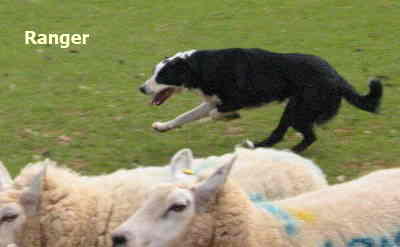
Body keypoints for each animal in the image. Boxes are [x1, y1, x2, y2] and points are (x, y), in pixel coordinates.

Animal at [139, 48, 382, 152]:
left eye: (161, 76)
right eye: (154, 72)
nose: (141, 88)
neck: (199, 67)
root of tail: (337, 77)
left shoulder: (233, 100)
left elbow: (216, 113)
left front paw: (230, 117)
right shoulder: (211, 100)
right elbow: (184, 116)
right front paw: (163, 126)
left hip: (300, 110)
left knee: (308, 136)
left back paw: (287, 152)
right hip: (294, 108)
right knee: (280, 134)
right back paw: (257, 146)